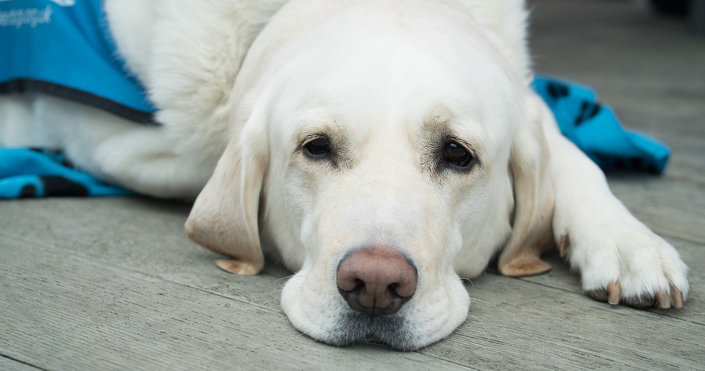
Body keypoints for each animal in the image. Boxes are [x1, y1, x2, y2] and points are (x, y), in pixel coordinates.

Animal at [0, 0, 692, 352]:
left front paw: (629, 244)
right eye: (316, 147)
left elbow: (570, 154)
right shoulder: (115, 139)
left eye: (457, 154)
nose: (376, 285)